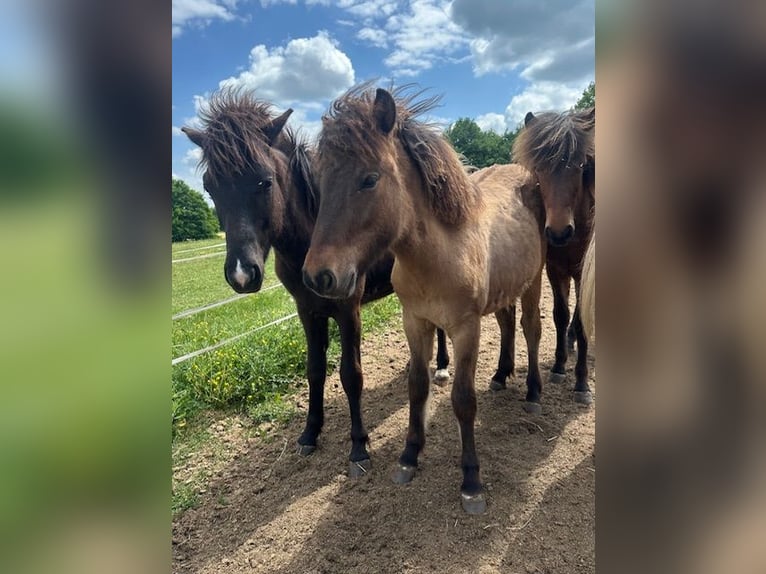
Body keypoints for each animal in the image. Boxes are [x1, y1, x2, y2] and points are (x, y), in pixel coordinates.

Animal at [181, 88, 451, 478]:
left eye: (264, 181)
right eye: (209, 187)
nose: (242, 274)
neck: (309, 237)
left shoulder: (348, 310)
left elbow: (351, 375)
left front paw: (358, 447)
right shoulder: (307, 310)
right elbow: (315, 370)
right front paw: (310, 433)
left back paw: (443, 366)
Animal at [302, 84, 546, 514]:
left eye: (369, 179)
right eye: (322, 182)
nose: (318, 275)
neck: (439, 255)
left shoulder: (465, 328)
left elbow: (463, 399)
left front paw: (471, 481)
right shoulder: (414, 322)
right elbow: (417, 385)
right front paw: (409, 457)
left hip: (533, 281)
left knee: (531, 329)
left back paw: (533, 393)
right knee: (507, 324)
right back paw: (501, 376)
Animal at [513, 107, 595, 404]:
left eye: (581, 165)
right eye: (539, 169)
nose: (559, 233)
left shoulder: (584, 272)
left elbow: (581, 322)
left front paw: (582, 382)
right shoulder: (555, 269)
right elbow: (560, 315)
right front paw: (559, 367)